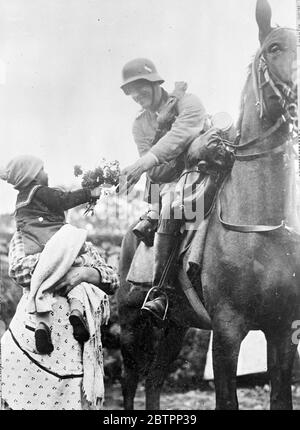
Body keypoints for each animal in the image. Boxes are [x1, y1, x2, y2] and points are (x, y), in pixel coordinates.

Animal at [116, 0, 298, 410]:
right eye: (274, 48)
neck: (260, 227)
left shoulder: (282, 330)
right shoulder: (227, 333)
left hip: (176, 325)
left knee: (154, 378)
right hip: (132, 324)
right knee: (130, 379)